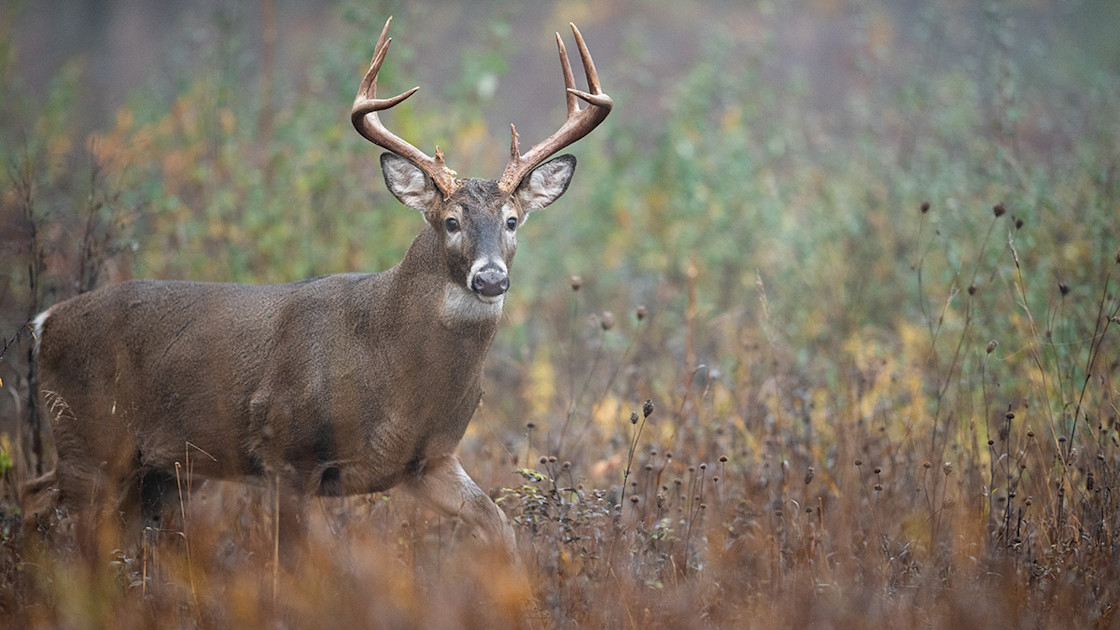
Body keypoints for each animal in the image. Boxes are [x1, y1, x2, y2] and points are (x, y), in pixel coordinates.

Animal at [21, 17, 611, 562]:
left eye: (512, 220)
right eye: (450, 221)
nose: (490, 277)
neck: (395, 374)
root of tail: (44, 322)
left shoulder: (429, 461)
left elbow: (500, 528)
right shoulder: (286, 450)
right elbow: (297, 564)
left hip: (159, 469)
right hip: (89, 437)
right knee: (40, 502)